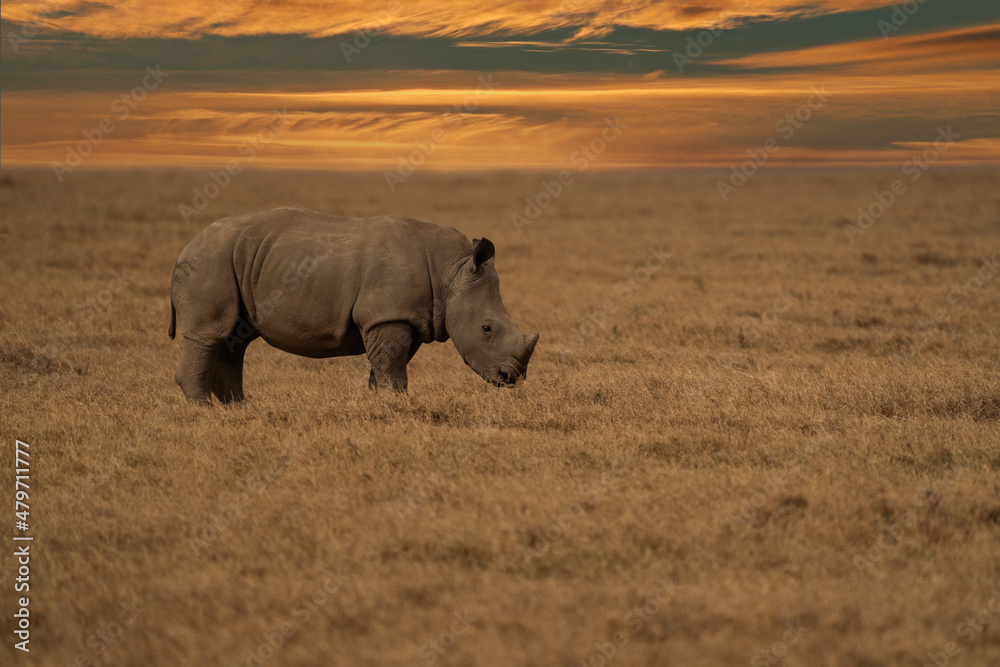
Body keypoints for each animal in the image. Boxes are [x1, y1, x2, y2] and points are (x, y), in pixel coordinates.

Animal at [168, 206, 538, 403]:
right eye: (486, 328)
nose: (511, 378)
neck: (450, 270)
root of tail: (184, 249)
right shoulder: (387, 317)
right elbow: (392, 369)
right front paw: (396, 407)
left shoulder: (404, 318)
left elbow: (386, 368)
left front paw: (381, 406)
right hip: (210, 262)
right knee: (209, 336)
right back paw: (206, 413)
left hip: (235, 262)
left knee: (235, 340)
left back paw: (241, 410)